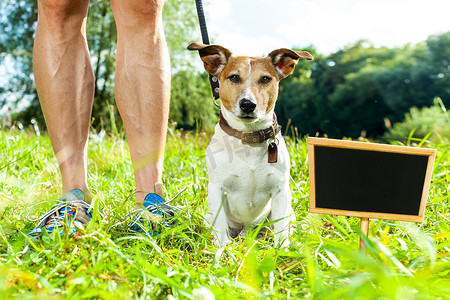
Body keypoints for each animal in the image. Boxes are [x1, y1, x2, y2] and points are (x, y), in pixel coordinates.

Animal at [186, 42, 312, 247]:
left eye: (265, 79)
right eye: (234, 77)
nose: (247, 104)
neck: (248, 138)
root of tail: (247, 232)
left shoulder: (281, 190)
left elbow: (281, 232)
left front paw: (282, 251)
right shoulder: (217, 189)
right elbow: (221, 232)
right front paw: (221, 252)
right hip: (209, 217)